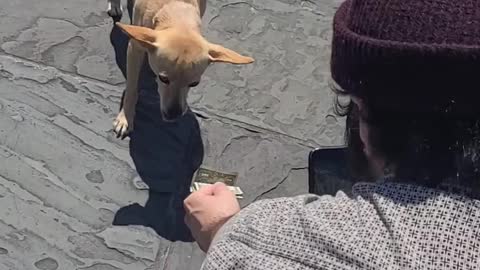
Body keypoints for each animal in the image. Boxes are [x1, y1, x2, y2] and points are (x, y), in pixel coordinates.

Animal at [114, 0, 253, 139]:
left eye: (194, 83)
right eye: (163, 78)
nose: (173, 114)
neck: (176, 8)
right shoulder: (134, 49)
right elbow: (131, 88)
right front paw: (125, 118)